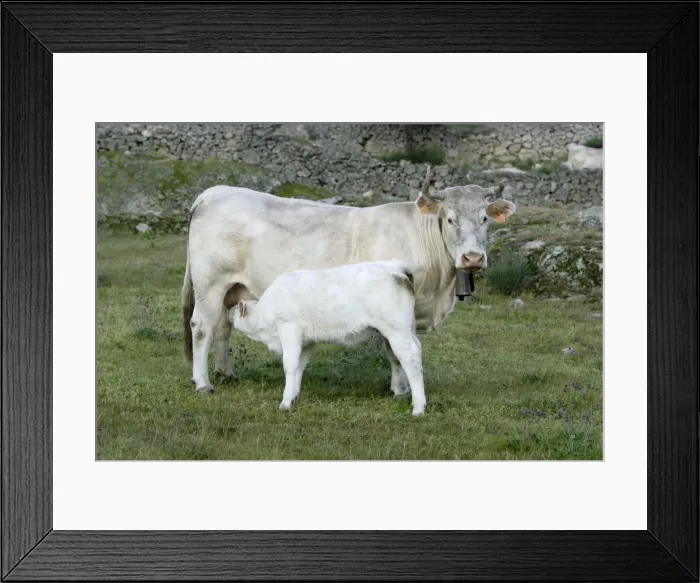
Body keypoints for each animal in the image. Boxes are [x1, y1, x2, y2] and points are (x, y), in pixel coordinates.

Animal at [181, 168, 516, 394]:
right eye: (450, 219)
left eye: (485, 219)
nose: (472, 258)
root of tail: (213, 193)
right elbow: (395, 350)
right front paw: (399, 390)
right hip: (209, 283)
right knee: (202, 327)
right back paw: (203, 383)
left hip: (232, 287)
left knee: (223, 326)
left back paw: (226, 373)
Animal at [230, 260, 426, 415]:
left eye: (236, 311)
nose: (228, 313)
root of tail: (396, 267)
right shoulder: (307, 342)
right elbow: (300, 365)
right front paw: (294, 395)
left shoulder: (289, 329)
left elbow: (290, 365)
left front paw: (285, 403)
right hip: (407, 328)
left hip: (396, 330)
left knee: (409, 357)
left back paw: (418, 407)